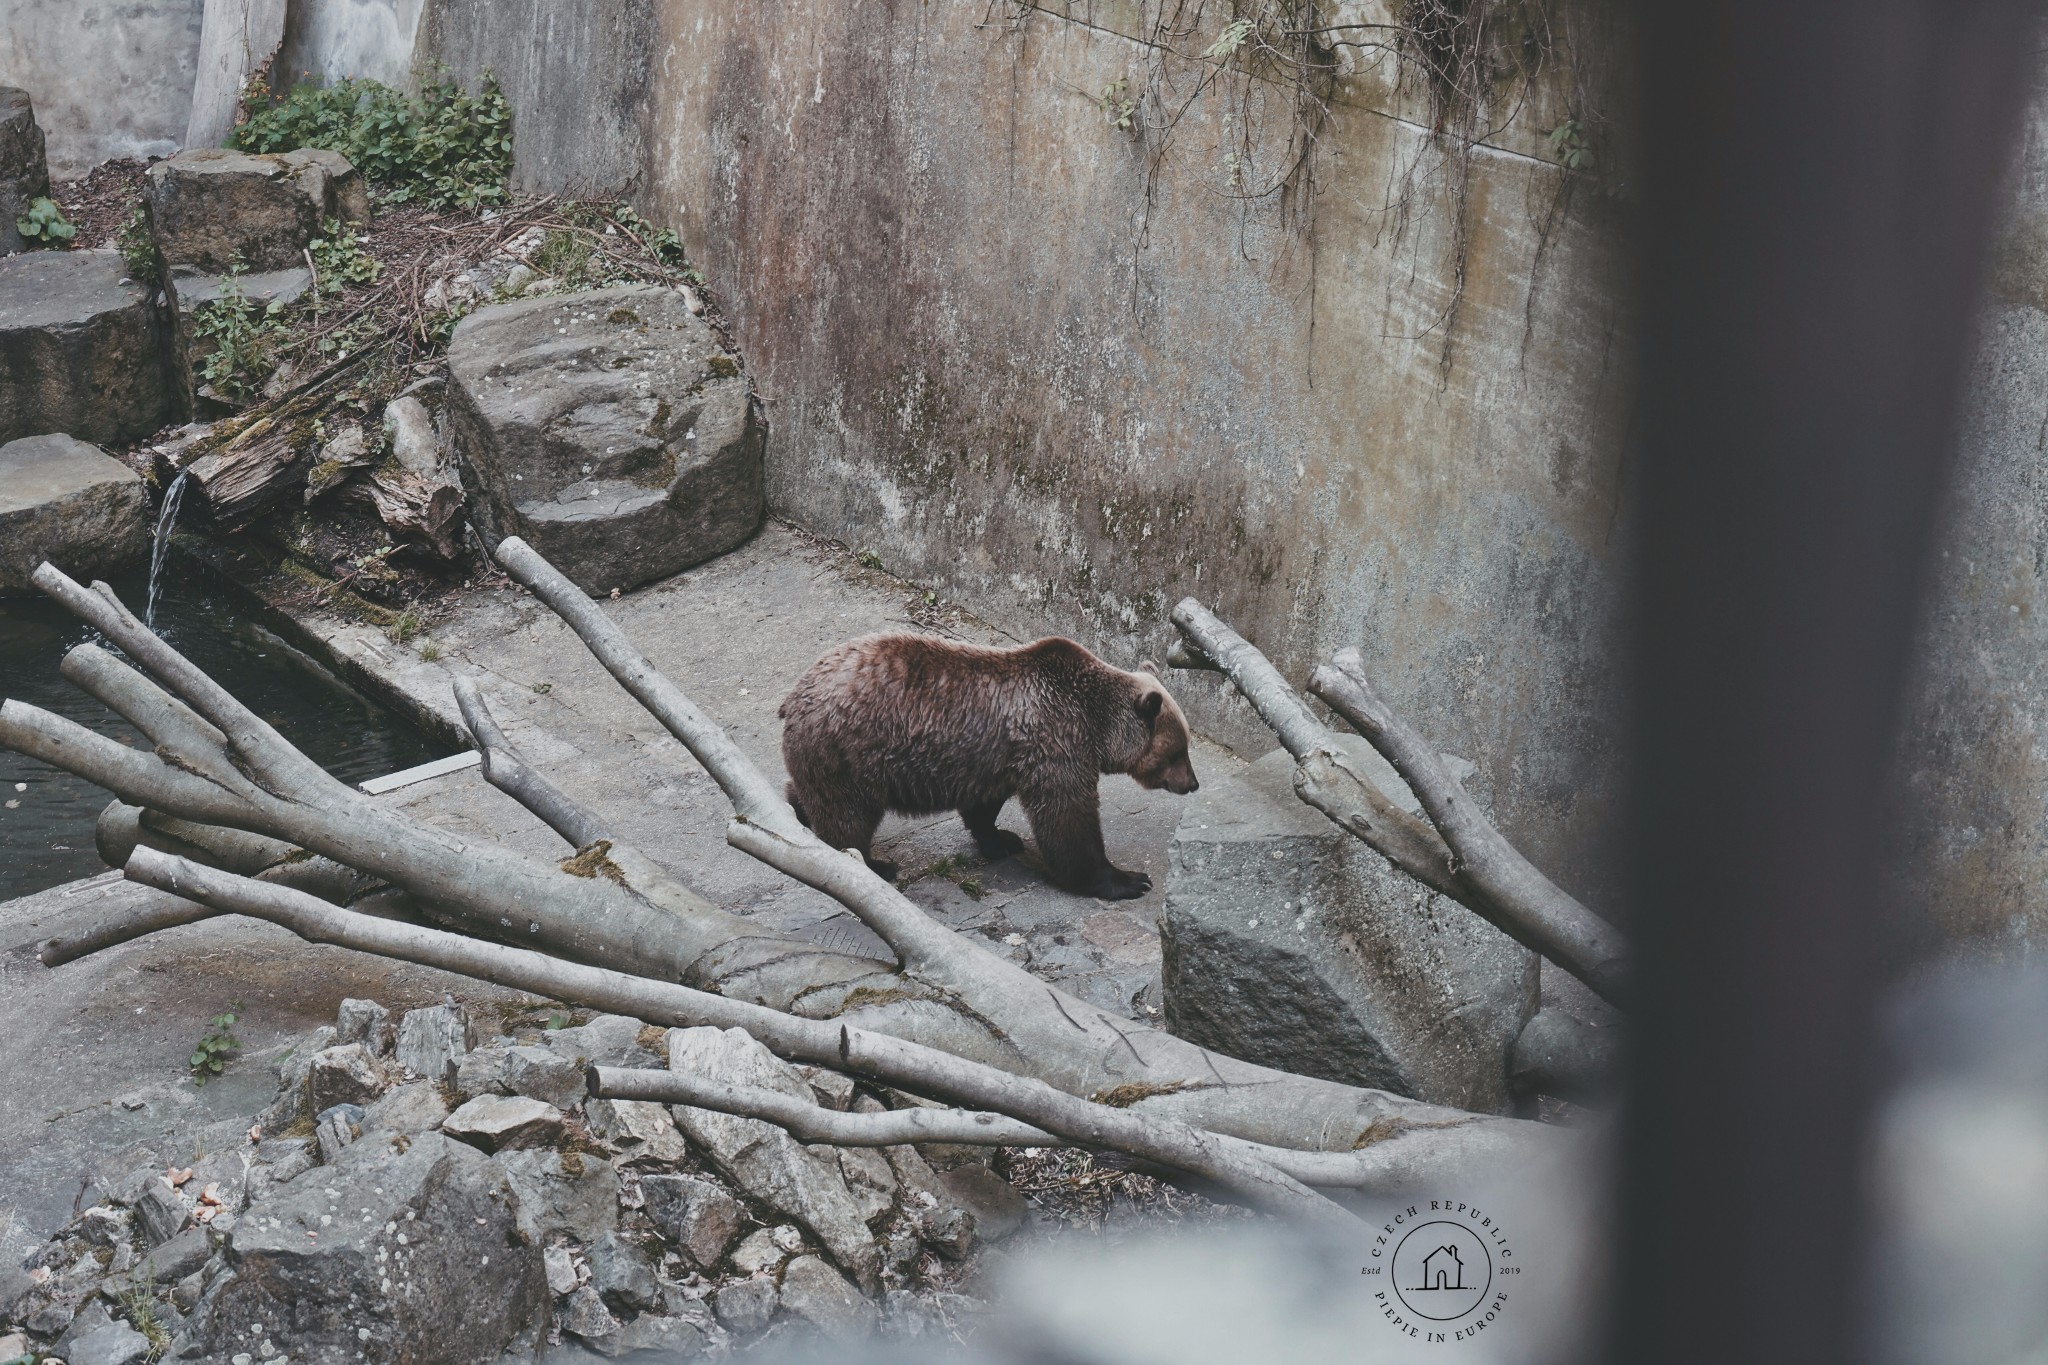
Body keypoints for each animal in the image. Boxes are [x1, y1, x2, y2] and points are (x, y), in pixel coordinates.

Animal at [778, 634, 1196, 900]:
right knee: (847, 817)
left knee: (813, 793)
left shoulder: (997, 758)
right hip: (848, 751)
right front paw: (1128, 880)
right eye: (1178, 751)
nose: (1192, 784)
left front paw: (1002, 839)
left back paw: (795, 808)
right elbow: (1068, 820)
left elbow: (984, 807)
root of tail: (793, 696)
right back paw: (876, 866)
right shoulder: (1058, 743)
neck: (1097, 726)